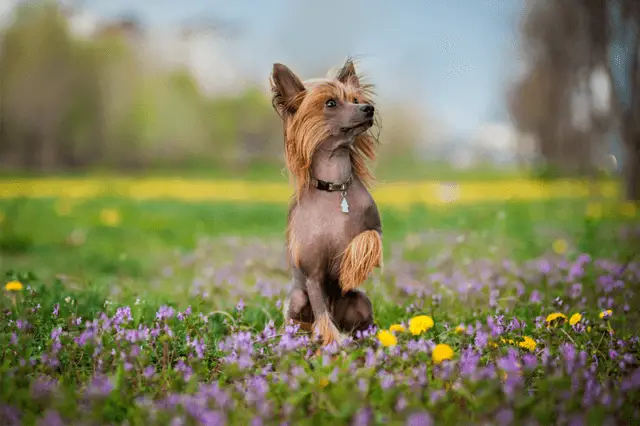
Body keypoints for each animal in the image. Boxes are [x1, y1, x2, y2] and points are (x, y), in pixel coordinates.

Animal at [268, 59, 382, 346]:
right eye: (331, 103)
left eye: (355, 99)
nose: (368, 108)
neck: (335, 189)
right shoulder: (313, 276)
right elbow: (322, 317)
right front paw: (332, 343)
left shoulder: (375, 228)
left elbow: (367, 239)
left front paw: (349, 268)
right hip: (298, 299)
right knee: (304, 320)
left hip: (360, 301)